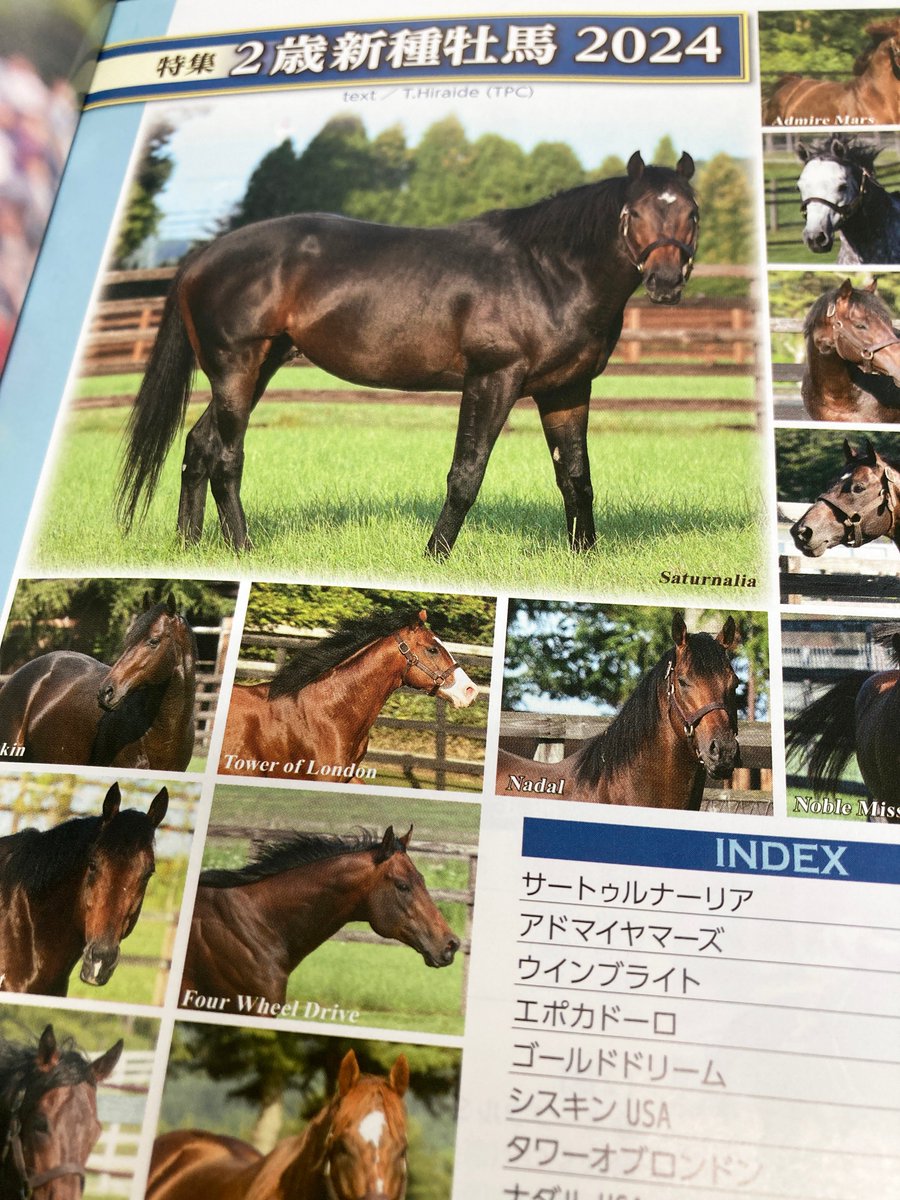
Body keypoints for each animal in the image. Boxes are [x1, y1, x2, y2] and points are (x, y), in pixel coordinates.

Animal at [116, 151, 699, 557]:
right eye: (634, 212)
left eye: (691, 213)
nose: (666, 282)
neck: (546, 270)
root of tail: (200, 258)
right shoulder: (492, 378)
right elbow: (466, 474)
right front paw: (434, 556)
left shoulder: (566, 389)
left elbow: (576, 477)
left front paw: (584, 559)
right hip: (236, 367)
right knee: (226, 458)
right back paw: (243, 548)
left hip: (254, 369)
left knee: (199, 446)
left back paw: (188, 546)